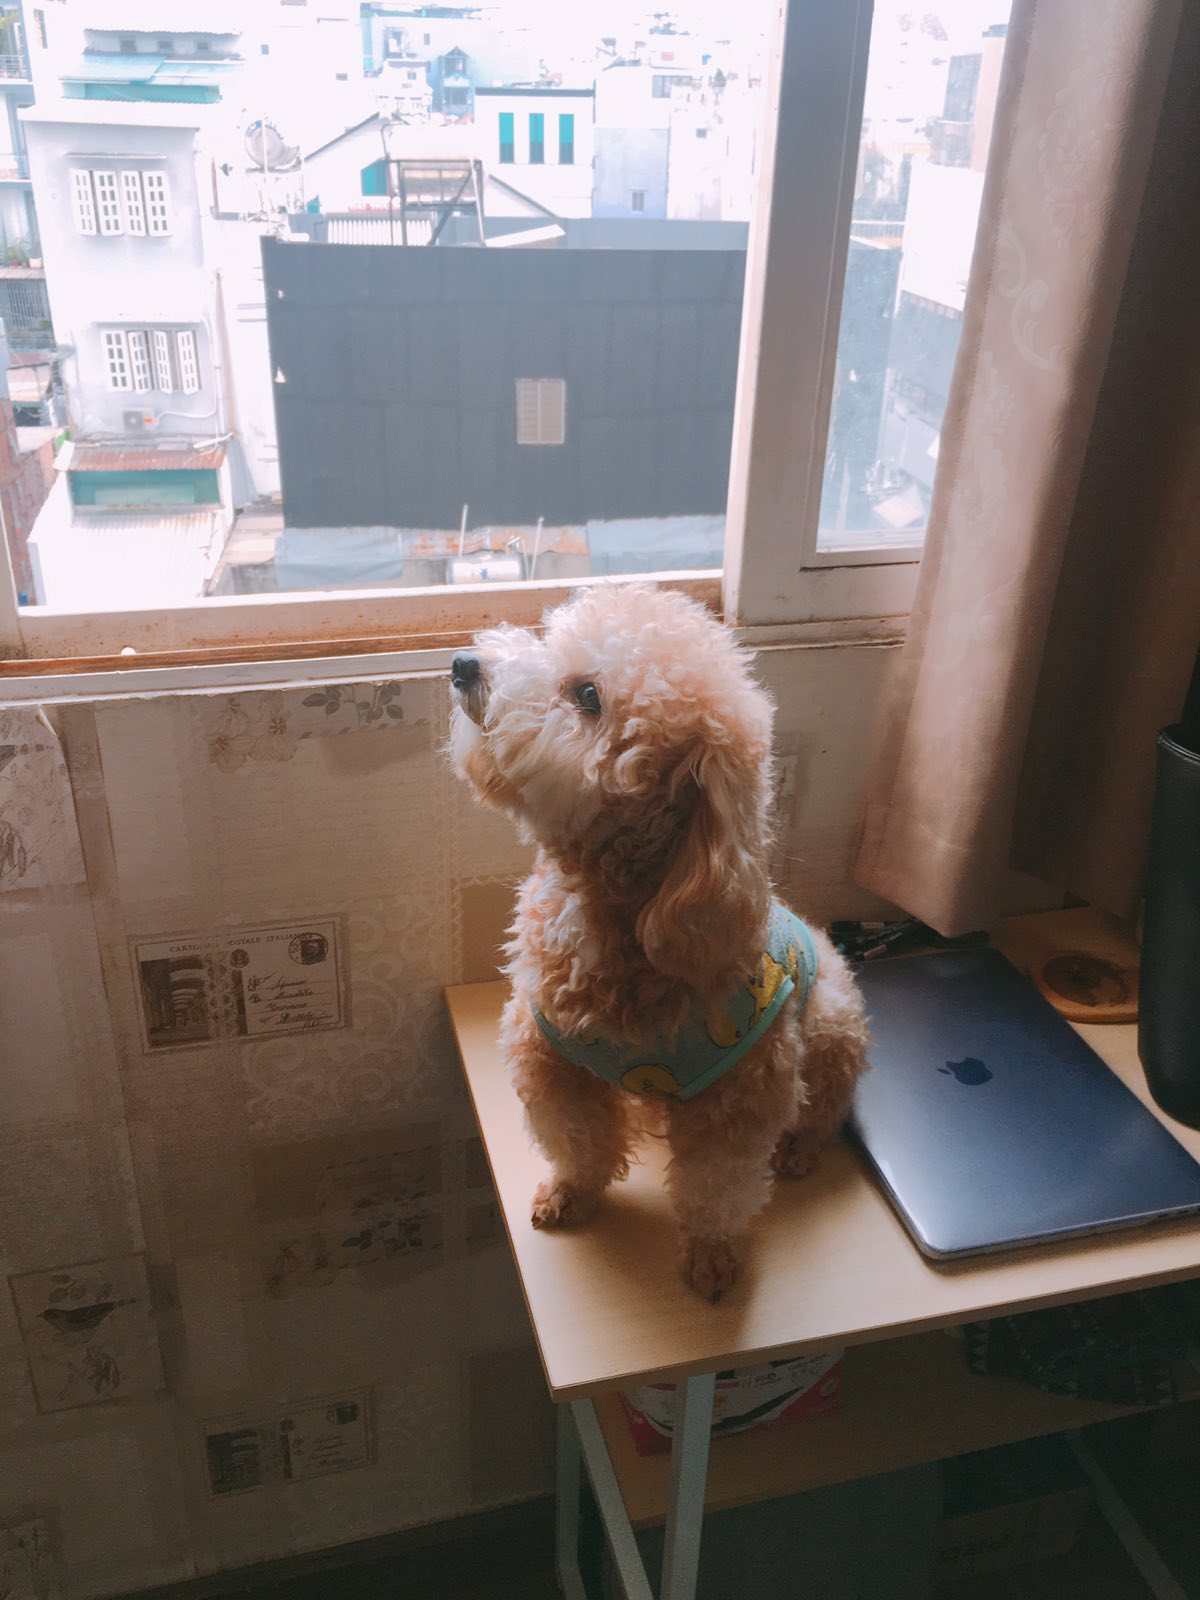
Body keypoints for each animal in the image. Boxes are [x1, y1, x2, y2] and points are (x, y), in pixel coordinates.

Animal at [449, 584, 869, 1299]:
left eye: (588, 696)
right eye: (549, 640)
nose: (462, 664)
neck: (614, 908)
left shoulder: (740, 1102)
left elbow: (717, 1189)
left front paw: (710, 1256)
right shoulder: (550, 1059)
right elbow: (579, 1143)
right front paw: (571, 1194)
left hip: (833, 1027)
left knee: (825, 1110)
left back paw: (800, 1149)